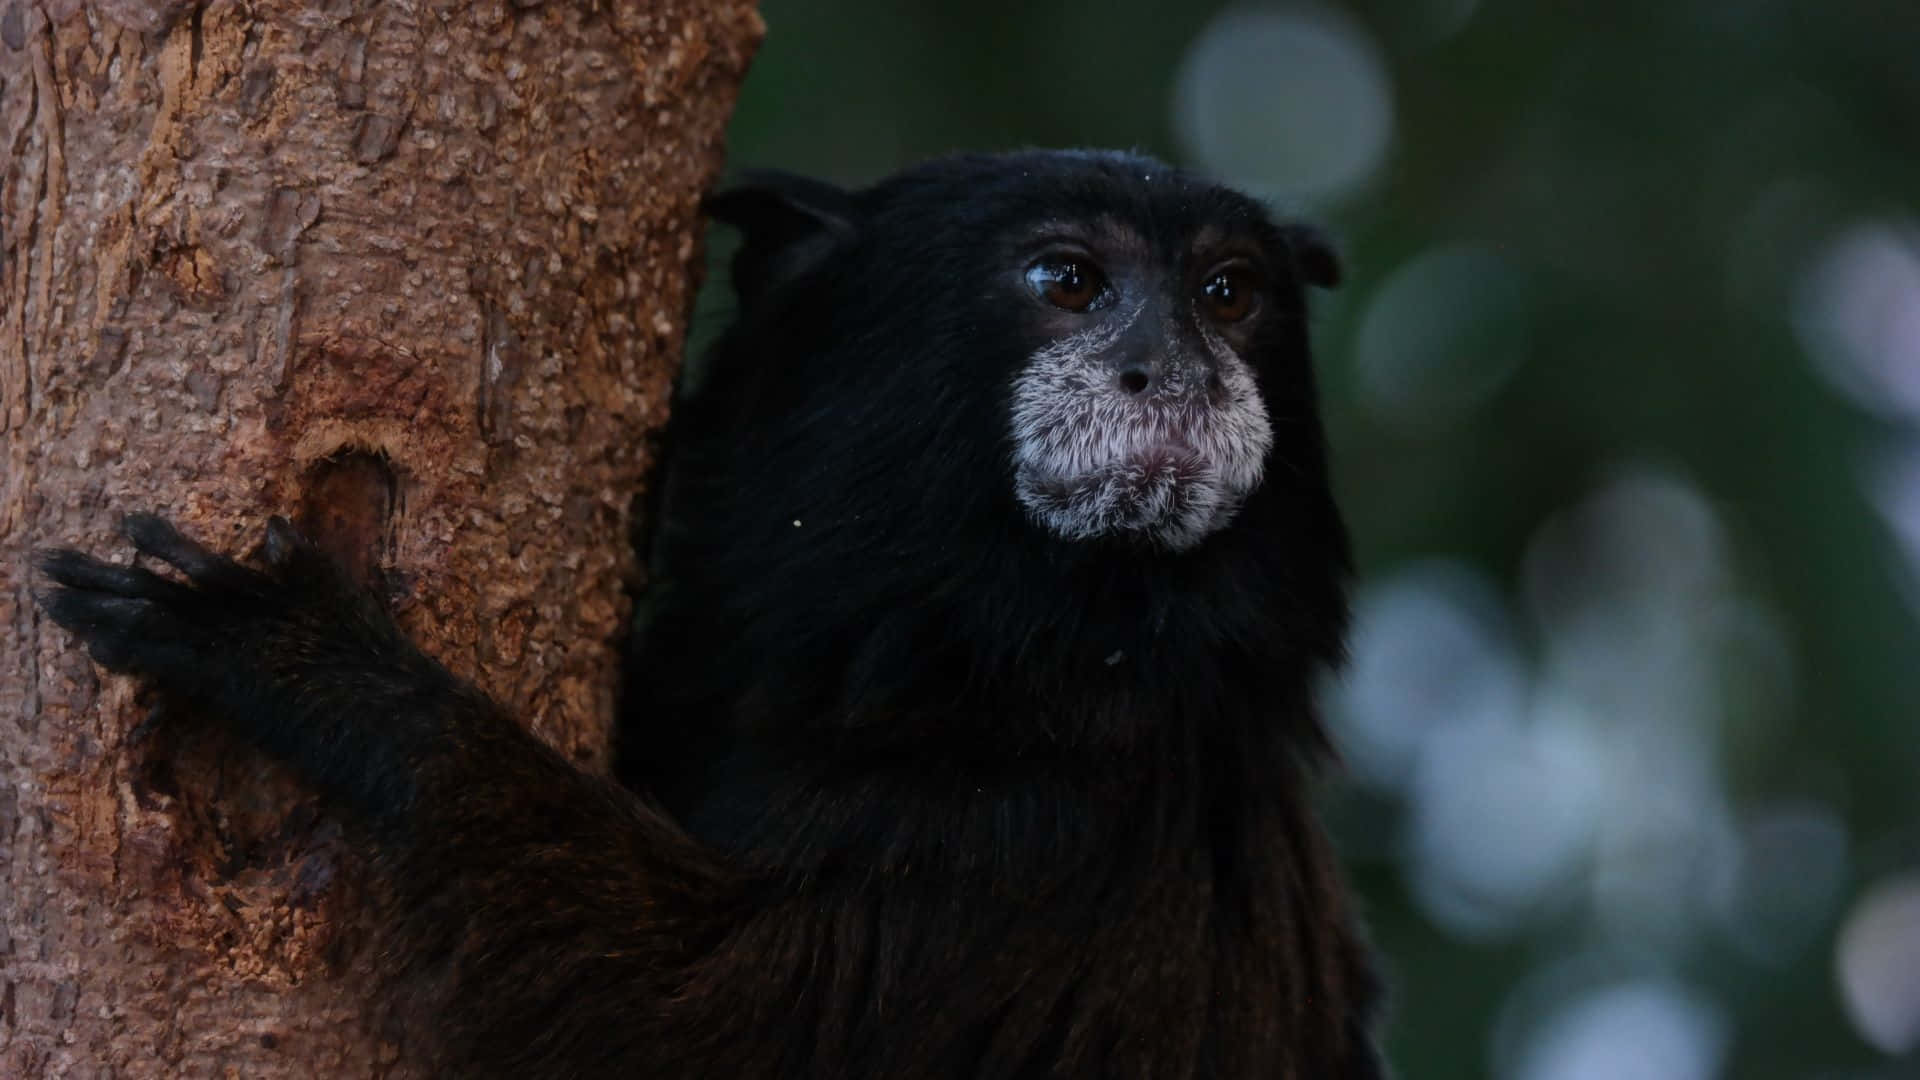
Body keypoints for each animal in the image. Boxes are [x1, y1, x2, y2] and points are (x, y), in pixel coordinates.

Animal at [37, 151, 1390, 1076]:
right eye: (1070, 280)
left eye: (1228, 293)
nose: (1185, 373)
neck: (1002, 661)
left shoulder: (1061, 833)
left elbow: (681, 1027)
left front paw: (316, 673)